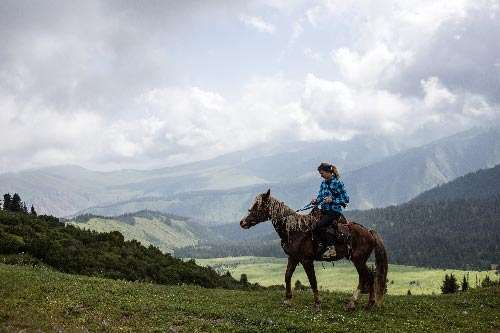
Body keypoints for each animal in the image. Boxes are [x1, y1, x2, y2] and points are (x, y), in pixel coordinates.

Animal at [240, 189, 388, 312]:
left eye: (257, 205)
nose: (242, 222)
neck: (295, 230)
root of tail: (369, 232)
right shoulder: (293, 257)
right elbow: (287, 276)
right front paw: (287, 300)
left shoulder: (306, 260)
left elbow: (313, 280)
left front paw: (317, 304)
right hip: (357, 260)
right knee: (364, 277)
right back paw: (354, 304)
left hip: (359, 260)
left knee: (369, 276)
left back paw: (367, 304)